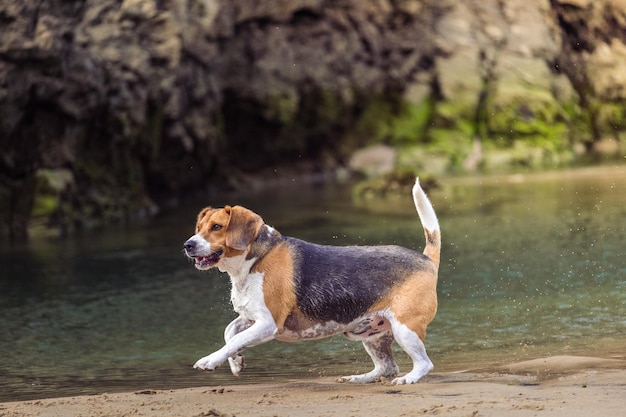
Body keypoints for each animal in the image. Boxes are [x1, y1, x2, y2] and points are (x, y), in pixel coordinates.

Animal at [183, 178, 442, 384]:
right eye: (199, 227)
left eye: (217, 227)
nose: (188, 245)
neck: (254, 260)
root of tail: (425, 259)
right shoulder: (250, 317)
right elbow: (230, 333)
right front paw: (236, 362)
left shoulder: (267, 323)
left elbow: (234, 339)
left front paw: (210, 360)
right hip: (370, 333)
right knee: (387, 367)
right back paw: (357, 378)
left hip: (405, 329)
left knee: (423, 364)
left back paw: (408, 379)